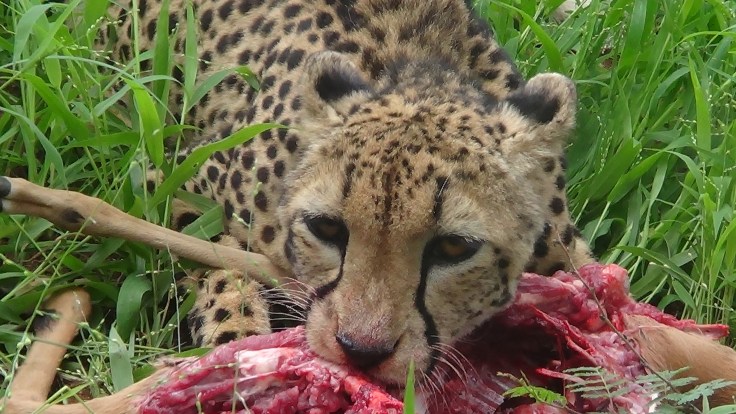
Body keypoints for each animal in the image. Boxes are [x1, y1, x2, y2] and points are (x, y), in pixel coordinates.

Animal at [90, 0, 595, 386]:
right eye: (326, 227)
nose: (362, 351)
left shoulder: (566, 253)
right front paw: (233, 353)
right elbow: (222, 278)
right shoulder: (168, 185)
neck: (425, 78)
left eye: (454, 247)